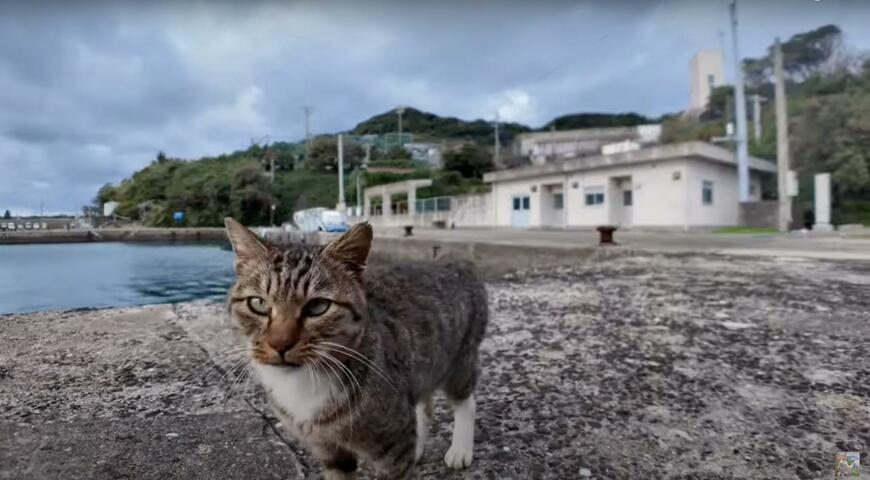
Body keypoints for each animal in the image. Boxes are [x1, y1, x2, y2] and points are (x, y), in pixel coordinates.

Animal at [225, 219, 490, 478]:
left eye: (318, 306)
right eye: (258, 303)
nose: (280, 343)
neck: (304, 384)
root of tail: (457, 260)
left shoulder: (393, 448)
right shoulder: (329, 451)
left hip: (459, 360)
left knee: (465, 401)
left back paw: (460, 449)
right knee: (425, 405)